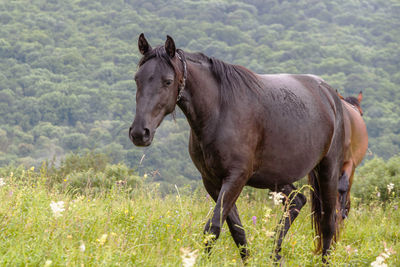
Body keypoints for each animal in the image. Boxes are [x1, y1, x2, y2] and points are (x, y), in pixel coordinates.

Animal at [130, 34, 346, 264]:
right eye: (137, 79)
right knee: (296, 201)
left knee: (328, 223)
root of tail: (330, 95)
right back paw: (275, 255)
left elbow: (213, 227)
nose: (139, 132)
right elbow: (236, 230)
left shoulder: (236, 178)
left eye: (168, 81)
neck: (220, 111)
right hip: (275, 178)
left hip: (328, 170)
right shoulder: (213, 182)